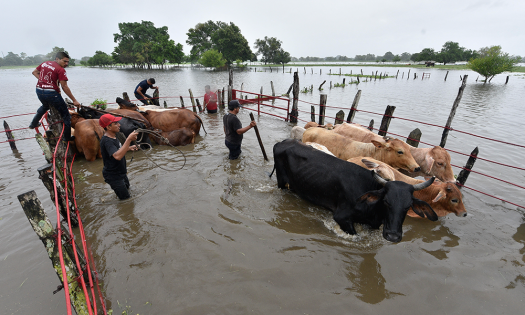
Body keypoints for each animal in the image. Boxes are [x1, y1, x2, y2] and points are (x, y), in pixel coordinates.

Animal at [272, 141, 436, 244]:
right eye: (386, 201)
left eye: (408, 206)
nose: (393, 236)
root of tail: (283, 142)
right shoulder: (341, 217)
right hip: (281, 182)